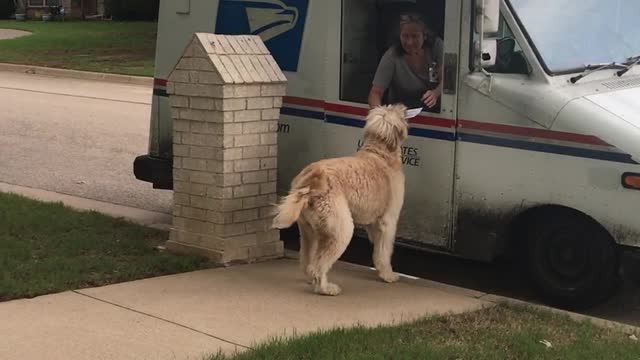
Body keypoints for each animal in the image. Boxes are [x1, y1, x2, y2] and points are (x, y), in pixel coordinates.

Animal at [270, 104, 410, 296]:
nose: (404, 108)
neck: (380, 153)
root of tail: (312, 182)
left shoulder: (373, 222)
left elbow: (377, 247)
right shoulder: (387, 221)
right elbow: (384, 250)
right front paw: (388, 275)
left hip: (310, 231)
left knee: (308, 262)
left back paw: (312, 280)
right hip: (341, 229)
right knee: (318, 266)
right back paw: (325, 288)